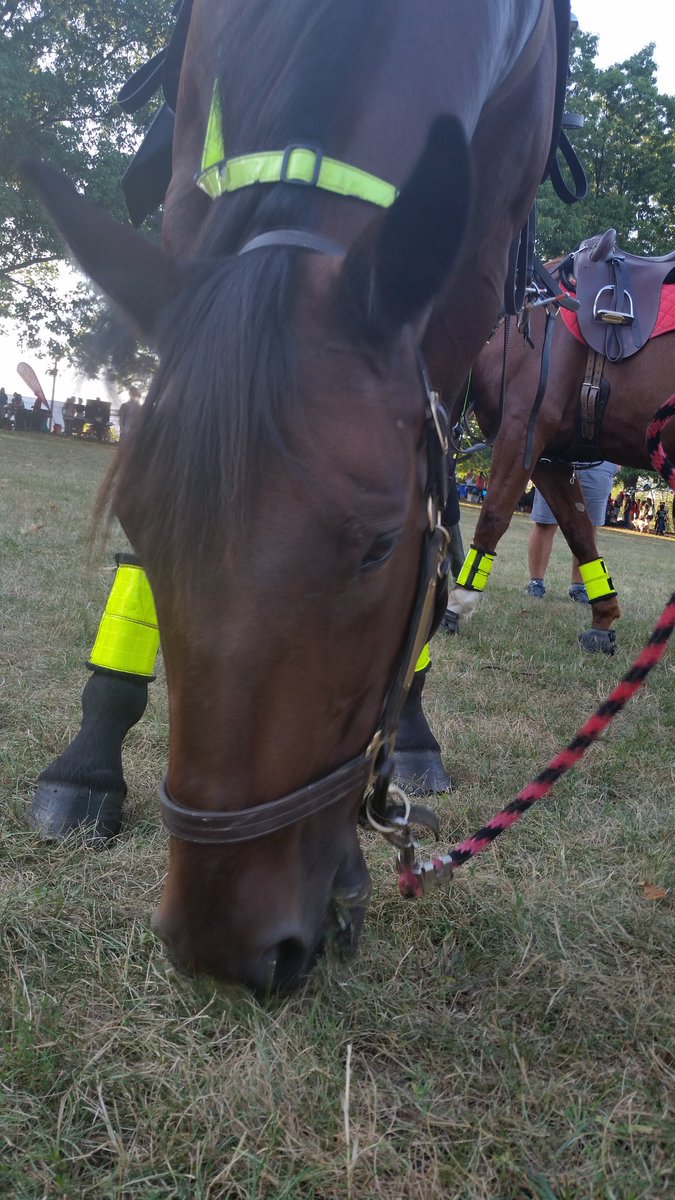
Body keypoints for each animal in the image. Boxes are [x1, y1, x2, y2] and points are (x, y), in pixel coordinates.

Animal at [24, 0, 572, 991]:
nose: (221, 942)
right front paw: (87, 767)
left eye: (382, 545)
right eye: (138, 530)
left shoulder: (471, 255)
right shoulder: (194, 188)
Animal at [445, 272, 675, 653]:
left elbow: (493, 516)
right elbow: (578, 530)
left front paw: (458, 603)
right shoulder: (549, 459)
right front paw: (603, 619)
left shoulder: (521, 429)